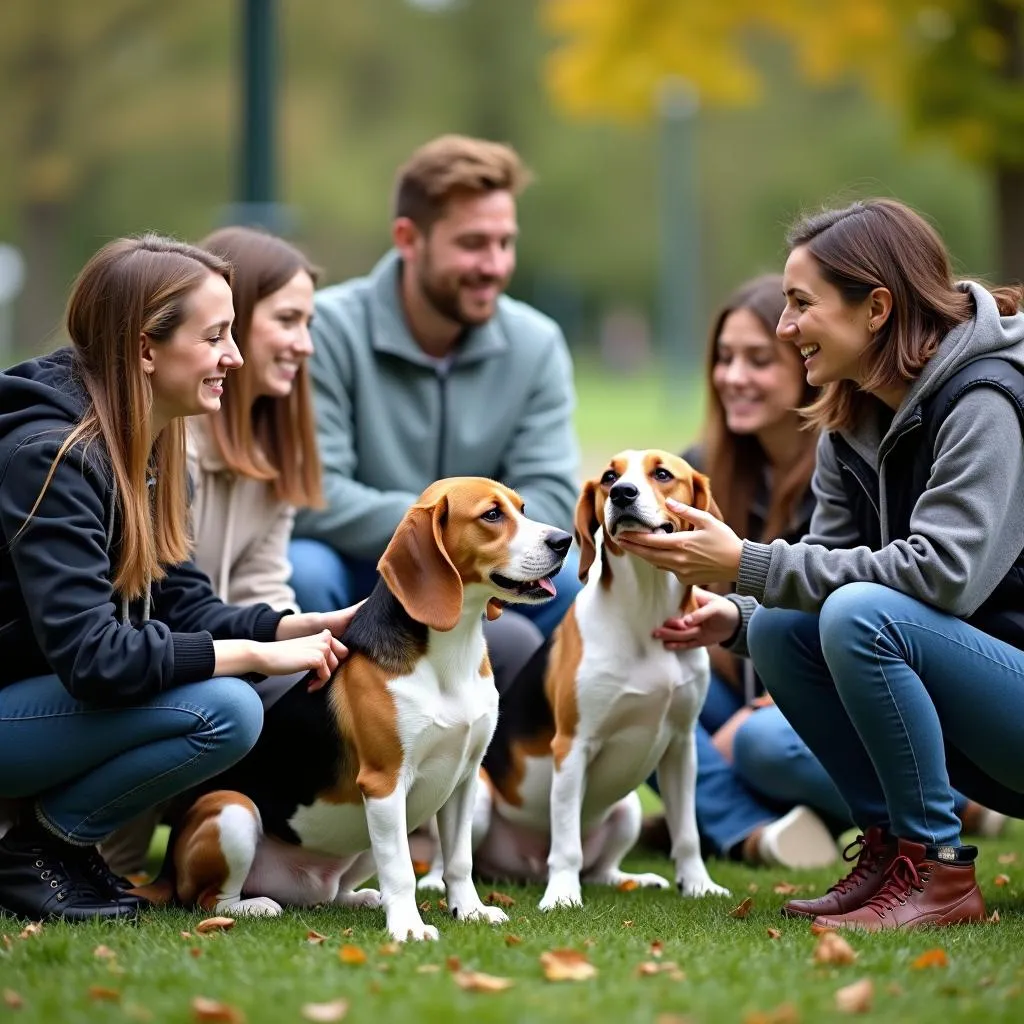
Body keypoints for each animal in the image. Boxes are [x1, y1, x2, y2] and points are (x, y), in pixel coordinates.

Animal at [138, 475, 569, 937]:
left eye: (522, 508)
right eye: (491, 515)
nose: (564, 541)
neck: (450, 652)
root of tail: (165, 872)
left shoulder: (464, 780)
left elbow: (458, 860)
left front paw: (469, 910)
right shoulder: (384, 782)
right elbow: (401, 869)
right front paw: (409, 928)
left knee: (332, 893)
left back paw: (358, 898)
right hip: (234, 810)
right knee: (207, 899)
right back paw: (255, 906)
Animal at [421, 452, 729, 909]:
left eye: (662, 474)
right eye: (609, 477)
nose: (622, 493)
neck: (645, 610)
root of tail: (525, 869)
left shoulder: (681, 746)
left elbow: (687, 834)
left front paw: (698, 885)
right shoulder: (573, 745)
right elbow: (566, 844)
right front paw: (563, 895)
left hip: (628, 810)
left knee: (599, 868)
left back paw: (626, 879)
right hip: (477, 800)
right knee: (452, 854)